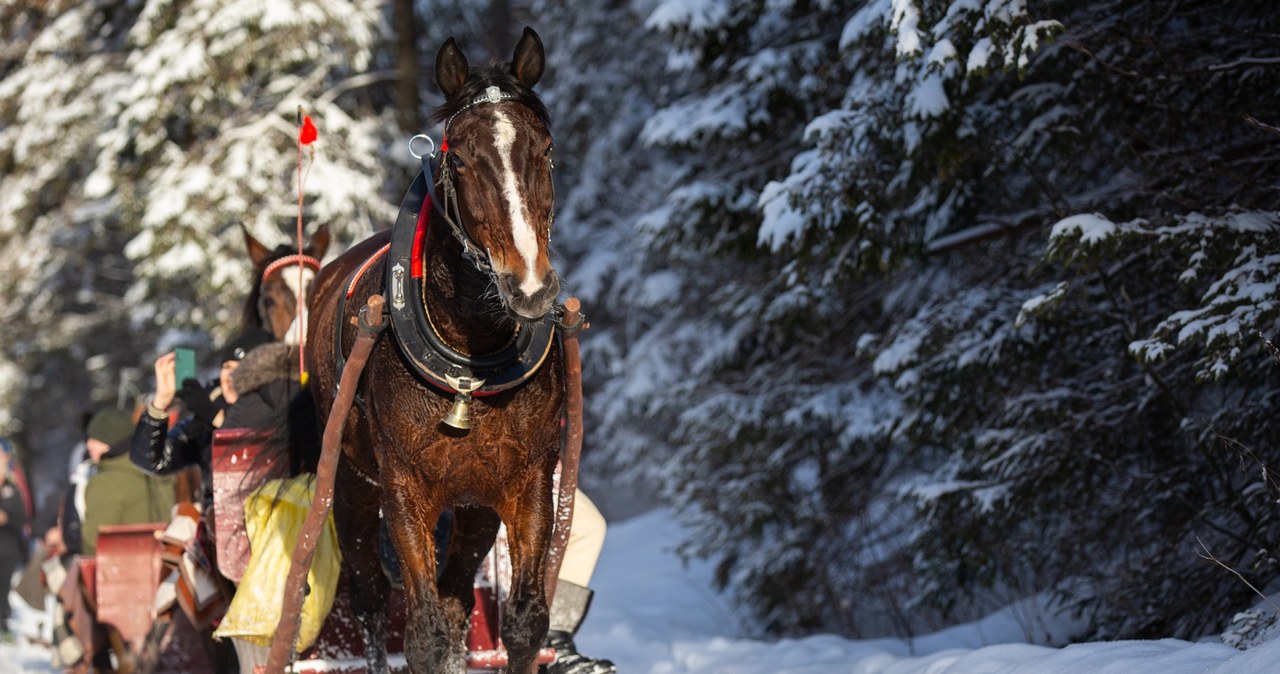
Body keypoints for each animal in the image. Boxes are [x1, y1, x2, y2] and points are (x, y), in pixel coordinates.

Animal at [302, 27, 563, 674]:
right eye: (460, 158)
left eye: (544, 151)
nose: (530, 287)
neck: (471, 355)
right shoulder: (403, 490)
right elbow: (422, 634)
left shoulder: (525, 484)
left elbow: (523, 623)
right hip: (350, 483)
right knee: (371, 596)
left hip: (473, 506)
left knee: (455, 599)